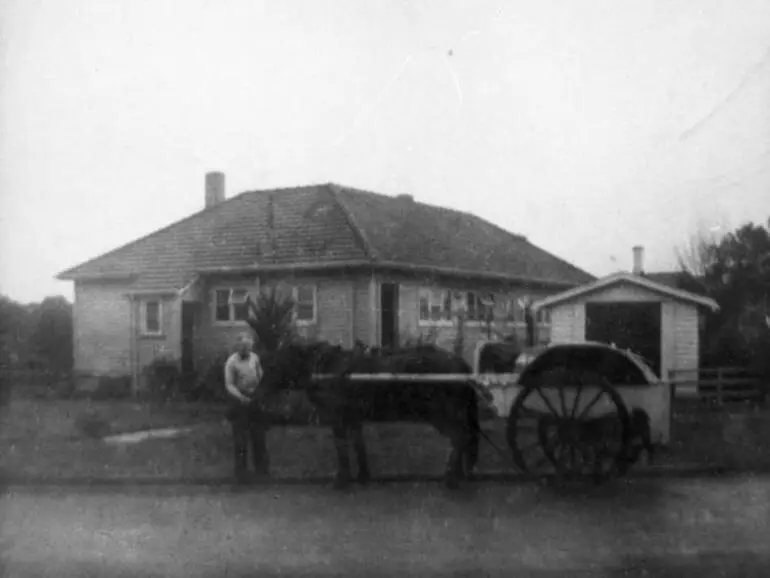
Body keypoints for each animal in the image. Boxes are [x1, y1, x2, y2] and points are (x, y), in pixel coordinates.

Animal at [260, 340, 484, 488]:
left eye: (273, 366)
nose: (258, 392)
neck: (325, 368)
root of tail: (462, 365)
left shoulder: (338, 417)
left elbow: (341, 447)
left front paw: (342, 479)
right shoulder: (353, 417)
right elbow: (358, 444)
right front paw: (363, 475)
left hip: (443, 413)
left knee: (461, 437)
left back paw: (450, 476)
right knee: (461, 438)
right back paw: (458, 473)